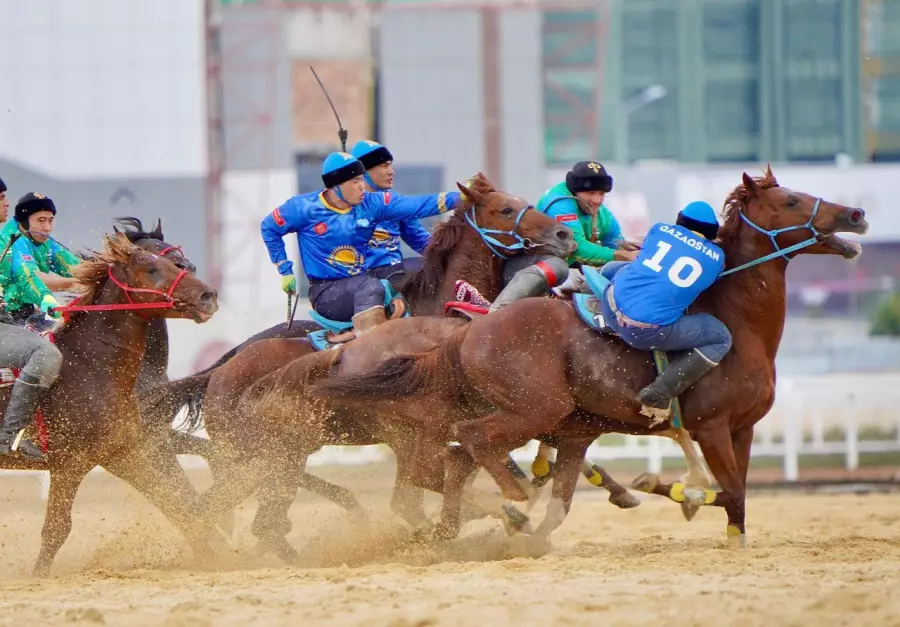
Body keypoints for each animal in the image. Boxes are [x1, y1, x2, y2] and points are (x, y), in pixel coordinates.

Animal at [2, 233, 221, 576]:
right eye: (152, 268)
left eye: (177, 263)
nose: (207, 295)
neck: (88, 367)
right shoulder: (70, 463)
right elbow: (56, 529)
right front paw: (38, 576)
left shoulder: (122, 453)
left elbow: (177, 503)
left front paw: (217, 556)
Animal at [306, 168, 868, 544]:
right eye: (792, 200)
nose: (857, 213)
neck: (734, 318)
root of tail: (469, 332)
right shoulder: (709, 426)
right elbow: (728, 491)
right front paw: (671, 490)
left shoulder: (741, 429)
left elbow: (739, 498)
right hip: (526, 409)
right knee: (466, 448)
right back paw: (509, 504)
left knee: (453, 468)